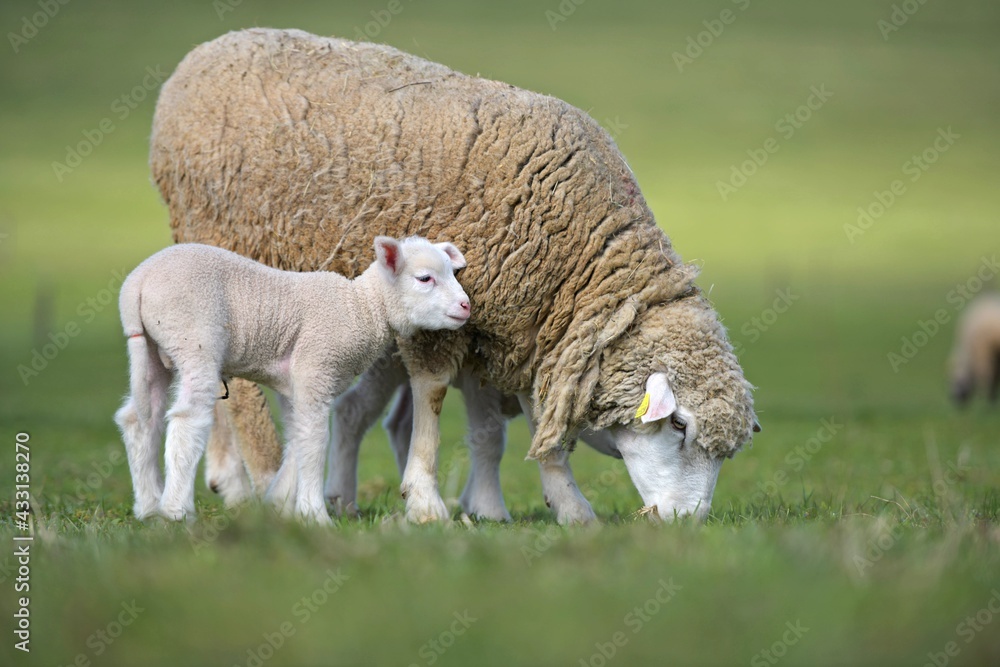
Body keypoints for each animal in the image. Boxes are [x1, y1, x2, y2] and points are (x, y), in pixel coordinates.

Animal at [113, 237, 470, 524]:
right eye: (424, 278)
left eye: (453, 273)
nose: (466, 306)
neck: (362, 308)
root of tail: (137, 283)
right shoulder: (315, 367)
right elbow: (314, 439)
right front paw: (314, 515)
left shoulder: (297, 382)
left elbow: (298, 436)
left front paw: (279, 506)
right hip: (194, 338)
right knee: (188, 421)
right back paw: (176, 511)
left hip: (153, 349)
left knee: (139, 419)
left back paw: (148, 508)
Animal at [151, 28, 760, 523]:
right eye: (678, 426)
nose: (687, 523)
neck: (580, 260)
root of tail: (200, 58)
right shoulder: (452, 323)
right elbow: (435, 397)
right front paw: (424, 501)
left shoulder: (526, 330)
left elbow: (523, 427)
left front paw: (562, 504)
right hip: (225, 242)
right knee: (243, 394)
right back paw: (260, 479)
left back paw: (243, 482)